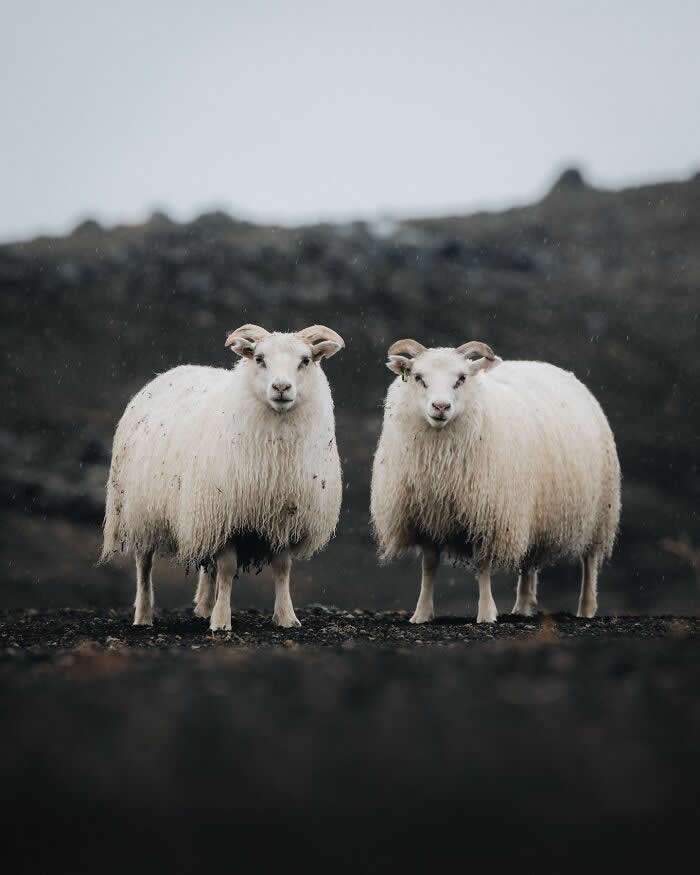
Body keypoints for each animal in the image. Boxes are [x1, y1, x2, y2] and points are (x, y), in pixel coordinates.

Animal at [100, 324, 345, 631]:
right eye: (259, 359)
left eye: (305, 360)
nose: (281, 388)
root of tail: (167, 374)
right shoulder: (226, 514)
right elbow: (227, 569)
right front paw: (221, 621)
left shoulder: (283, 517)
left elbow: (282, 568)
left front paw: (286, 617)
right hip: (143, 510)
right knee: (144, 564)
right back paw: (144, 616)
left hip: (202, 515)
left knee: (208, 565)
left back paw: (204, 607)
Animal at [370, 339, 621, 623]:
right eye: (418, 377)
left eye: (461, 378)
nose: (441, 407)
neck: (441, 460)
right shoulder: (427, 516)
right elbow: (429, 566)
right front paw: (421, 613)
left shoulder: (489, 513)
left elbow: (482, 564)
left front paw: (487, 613)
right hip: (532, 512)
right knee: (528, 561)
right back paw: (522, 606)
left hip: (600, 513)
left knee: (590, 561)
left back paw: (586, 608)